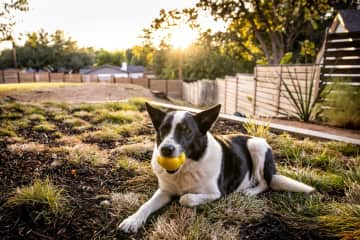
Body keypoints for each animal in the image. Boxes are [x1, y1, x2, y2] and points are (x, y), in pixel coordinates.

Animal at [119, 103, 316, 232]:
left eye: (187, 131)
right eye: (163, 129)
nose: (166, 150)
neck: (187, 167)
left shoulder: (216, 194)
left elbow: (186, 198)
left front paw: (185, 198)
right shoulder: (164, 191)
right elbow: (146, 205)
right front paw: (133, 220)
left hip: (256, 146)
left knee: (266, 183)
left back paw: (249, 191)